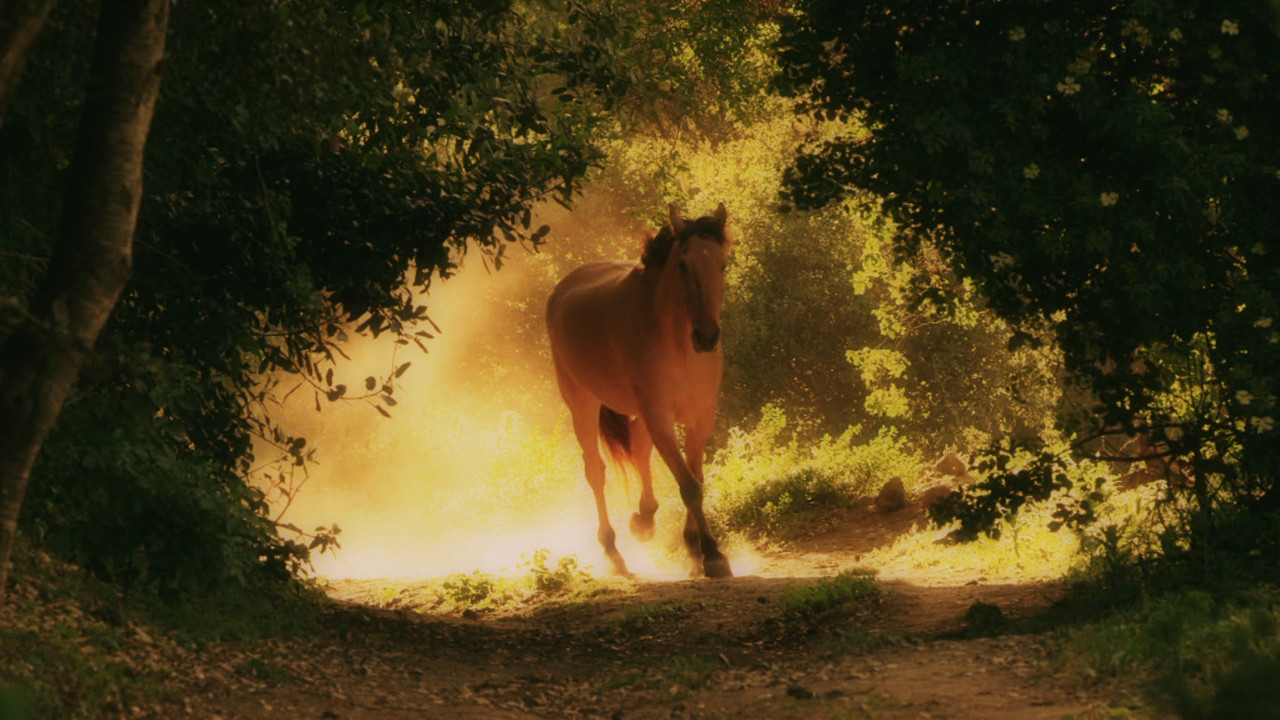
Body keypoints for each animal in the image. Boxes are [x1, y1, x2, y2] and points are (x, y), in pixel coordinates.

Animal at [545, 203, 733, 578]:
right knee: (596, 471)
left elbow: (696, 478)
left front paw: (694, 545)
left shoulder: (700, 416)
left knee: (639, 449)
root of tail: (561, 289)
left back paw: (644, 520)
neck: (680, 346)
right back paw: (613, 552)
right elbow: (689, 486)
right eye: (683, 265)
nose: (707, 336)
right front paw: (712, 553)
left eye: (722, 264)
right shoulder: (660, 415)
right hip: (581, 402)